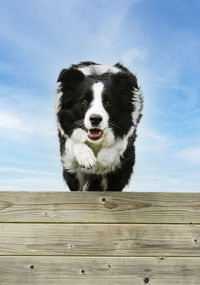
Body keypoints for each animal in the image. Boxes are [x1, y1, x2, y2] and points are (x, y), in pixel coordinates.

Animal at [55, 60, 143, 190]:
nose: (95, 119)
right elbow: (72, 141)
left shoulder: (129, 130)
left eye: (108, 102)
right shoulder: (65, 129)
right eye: (84, 100)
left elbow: (120, 143)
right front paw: (86, 157)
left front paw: (104, 159)